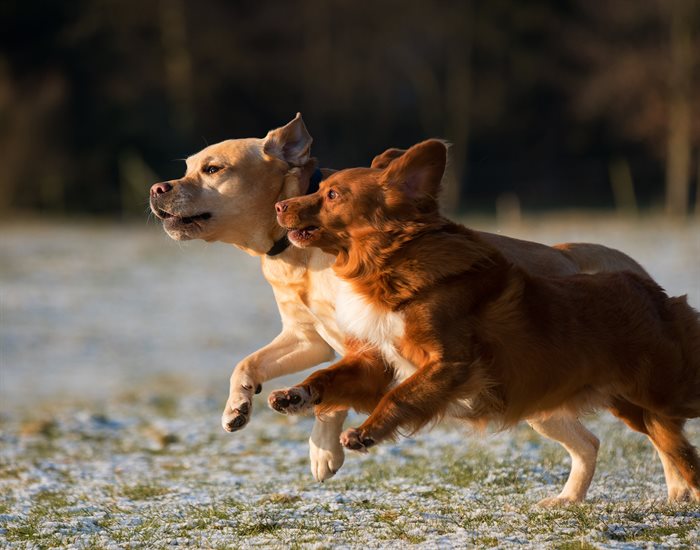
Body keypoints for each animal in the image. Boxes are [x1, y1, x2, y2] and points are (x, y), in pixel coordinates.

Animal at [270, 141, 700, 504]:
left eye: (332, 195)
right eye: (320, 188)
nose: (279, 206)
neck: (388, 265)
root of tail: (652, 291)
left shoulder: (451, 362)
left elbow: (401, 396)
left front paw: (364, 433)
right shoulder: (379, 361)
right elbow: (329, 376)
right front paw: (294, 395)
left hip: (663, 392)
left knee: (668, 441)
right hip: (616, 405)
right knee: (650, 444)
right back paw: (583, 499)